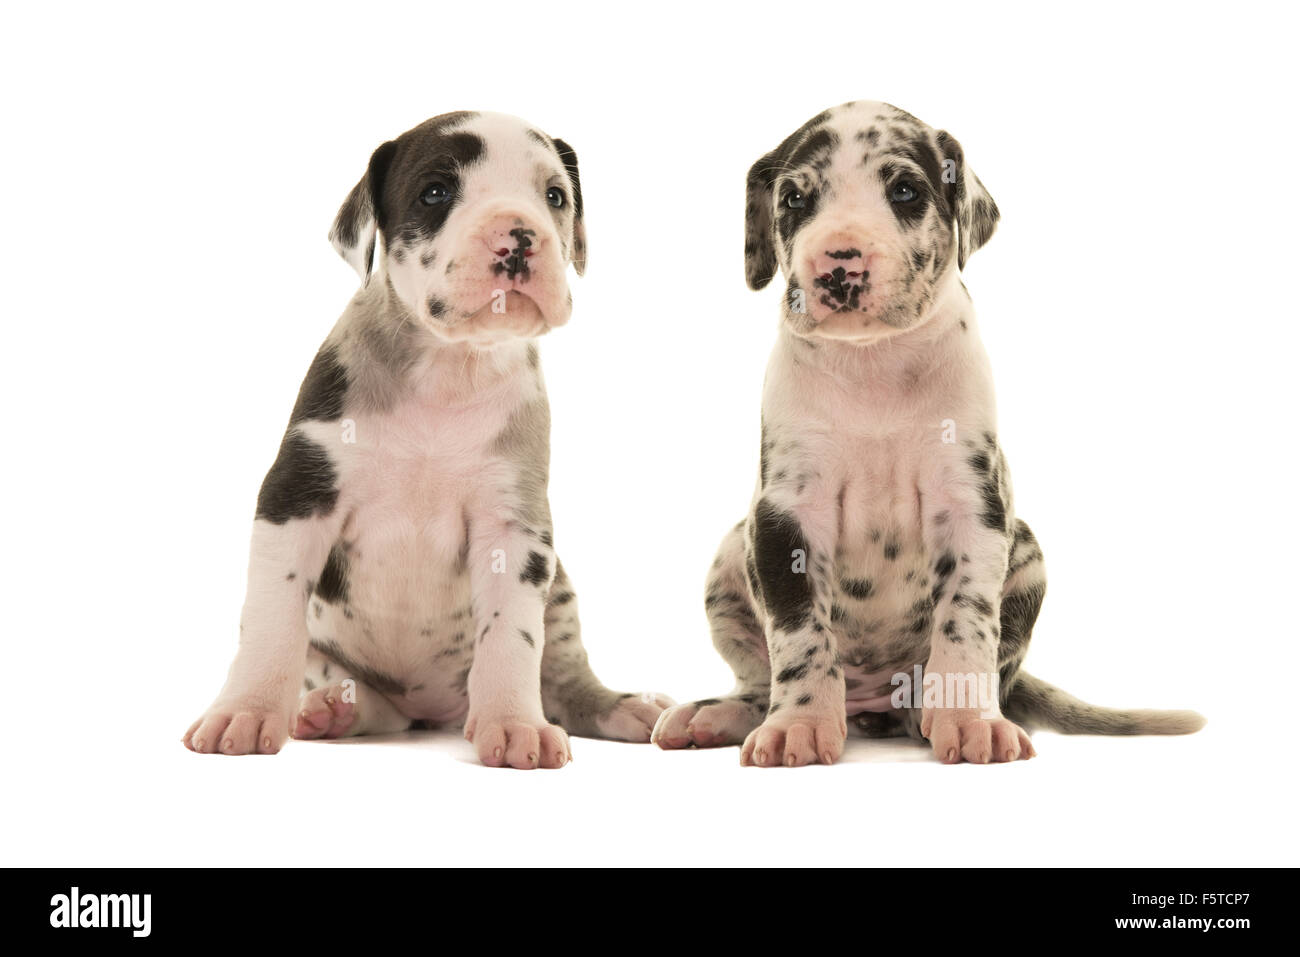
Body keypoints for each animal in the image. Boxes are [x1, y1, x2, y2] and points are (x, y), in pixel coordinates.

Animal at [188, 113, 676, 769]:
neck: (449, 368)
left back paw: (622, 705)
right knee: (370, 700)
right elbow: (270, 620)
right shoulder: (296, 496)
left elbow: (511, 635)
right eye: (436, 192)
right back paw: (333, 708)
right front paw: (245, 710)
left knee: (565, 682)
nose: (518, 235)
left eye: (554, 197)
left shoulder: (513, 528)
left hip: (562, 598)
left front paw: (514, 723)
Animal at [655, 100, 1201, 764]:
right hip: (731, 555)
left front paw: (969, 720)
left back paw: (929, 712)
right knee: (760, 681)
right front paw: (799, 723)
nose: (839, 261)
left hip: (1028, 555)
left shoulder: (973, 505)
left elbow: (965, 622)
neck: (874, 366)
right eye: (793, 198)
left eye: (906, 191)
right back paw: (717, 714)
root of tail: (871, 707)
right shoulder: (784, 515)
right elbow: (798, 631)